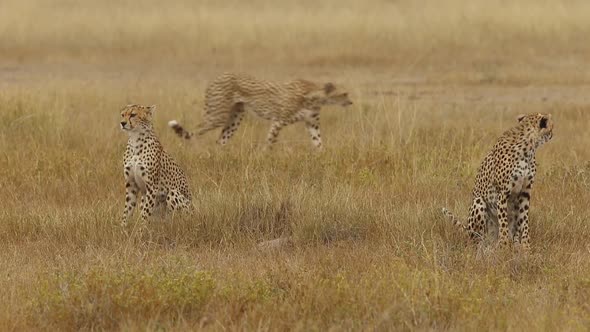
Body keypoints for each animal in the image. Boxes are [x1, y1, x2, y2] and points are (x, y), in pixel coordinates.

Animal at [168, 74, 352, 150]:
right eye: (344, 94)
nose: (351, 102)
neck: (314, 95)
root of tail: (216, 78)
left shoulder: (312, 124)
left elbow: (319, 143)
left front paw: (323, 158)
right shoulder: (278, 121)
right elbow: (270, 142)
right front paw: (265, 157)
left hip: (235, 118)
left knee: (220, 140)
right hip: (217, 115)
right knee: (196, 129)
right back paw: (194, 150)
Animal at [444, 112, 556, 249]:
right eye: (551, 127)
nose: (552, 134)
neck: (528, 147)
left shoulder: (525, 192)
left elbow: (524, 221)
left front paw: (525, 247)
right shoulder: (503, 192)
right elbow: (503, 222)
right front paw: (504, 245)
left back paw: (514, 244)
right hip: (478, 203)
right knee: (477, 239)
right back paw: (484, 246)